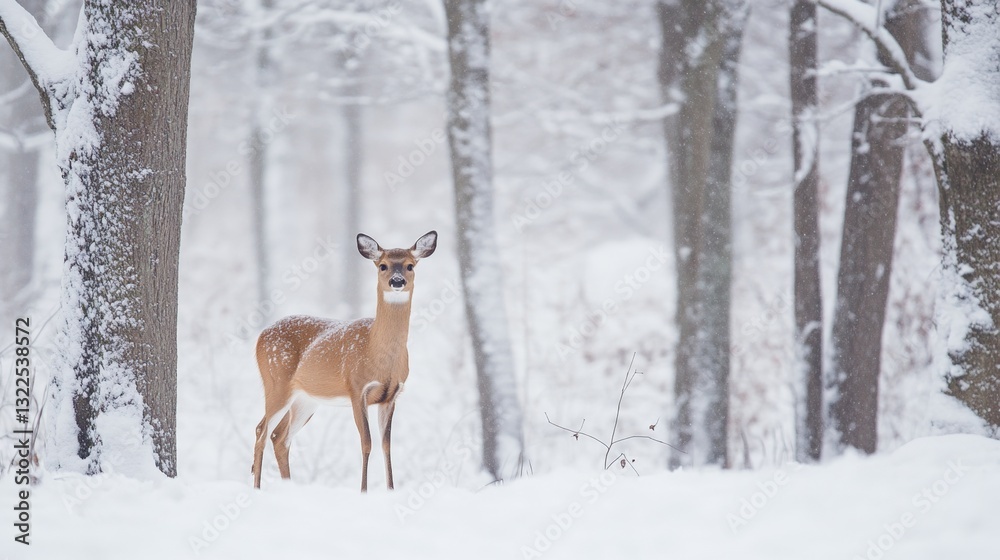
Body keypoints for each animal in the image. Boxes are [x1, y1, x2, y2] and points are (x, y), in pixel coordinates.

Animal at [251, 231, 437, 492]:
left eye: (410, 265)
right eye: (383, 265)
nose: (397, 281)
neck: (376, 351)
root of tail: (260, 335)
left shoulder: (391, 395)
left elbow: (386, 445)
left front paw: (391, 490)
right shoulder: (357, 388)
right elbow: (366, 442)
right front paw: (364, 491)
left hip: (306, 399)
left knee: (279, 436)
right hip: (276, 382)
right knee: (262, 430)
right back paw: (257, 488)